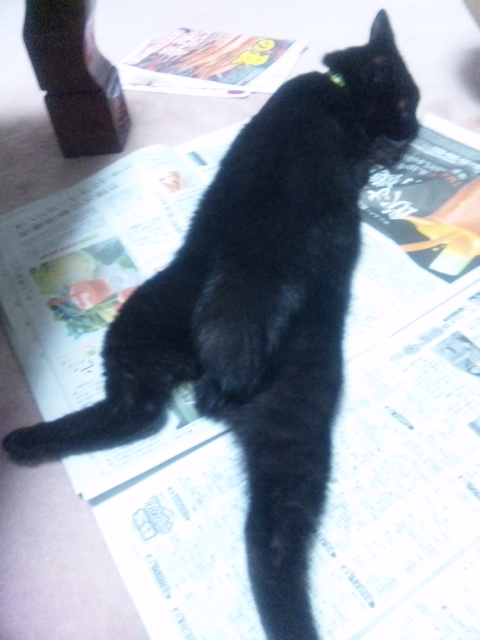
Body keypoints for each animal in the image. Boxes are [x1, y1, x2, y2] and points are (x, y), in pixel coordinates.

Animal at [3, 10, 419, 640]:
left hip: (167, 338)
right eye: (407, 101)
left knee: (148, 421)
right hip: (265, 389)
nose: (417, 128)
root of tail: (213, 374)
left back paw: (23, 443)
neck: (335, 89)